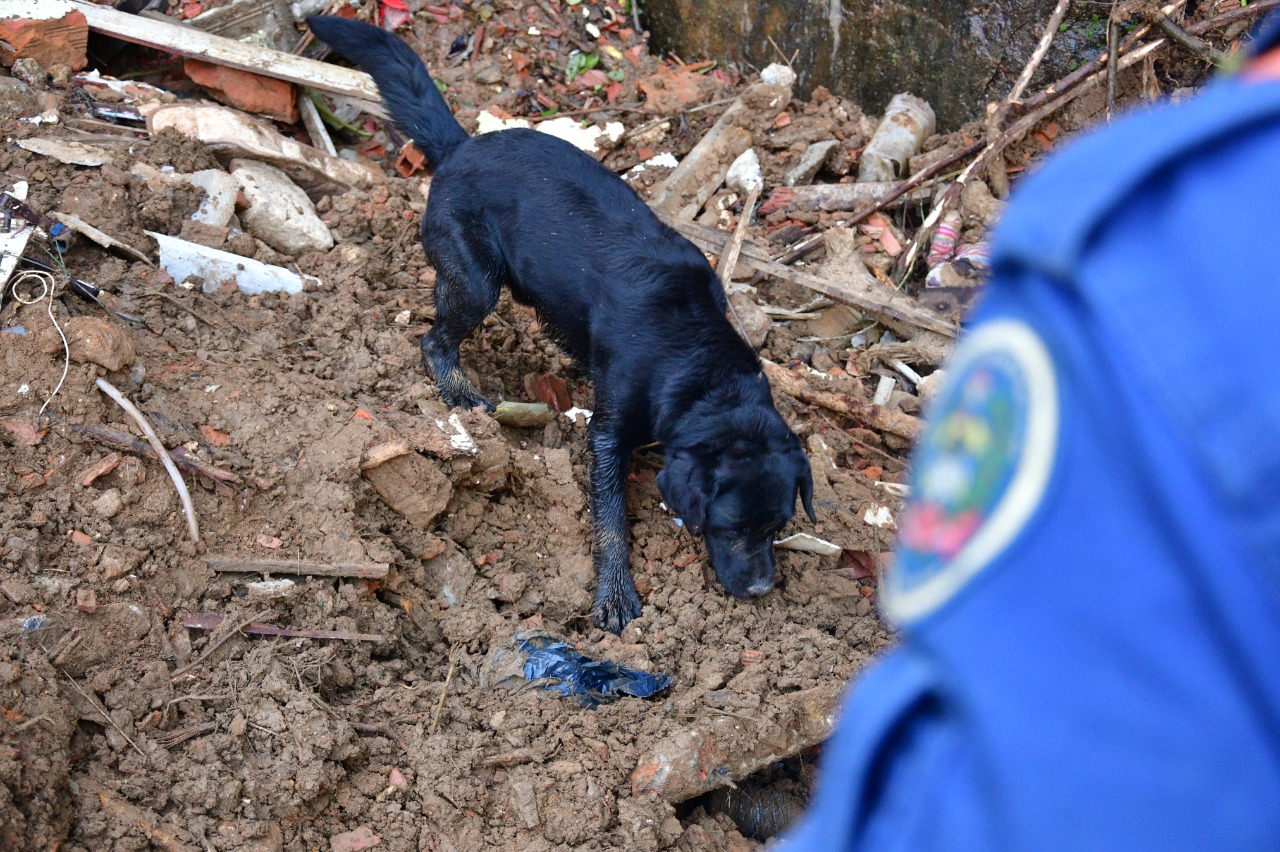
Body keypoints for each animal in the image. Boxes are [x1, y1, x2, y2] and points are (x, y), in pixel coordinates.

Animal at [304, 16, 814, 629]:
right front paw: (615, 592)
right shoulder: (607, 434)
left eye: (779, 526)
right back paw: (457, 390)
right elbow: (610, 520)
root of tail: (459, 147)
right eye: (729, 527)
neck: (699, 360)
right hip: (475, 280)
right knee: (433, 337)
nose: (762, 589)